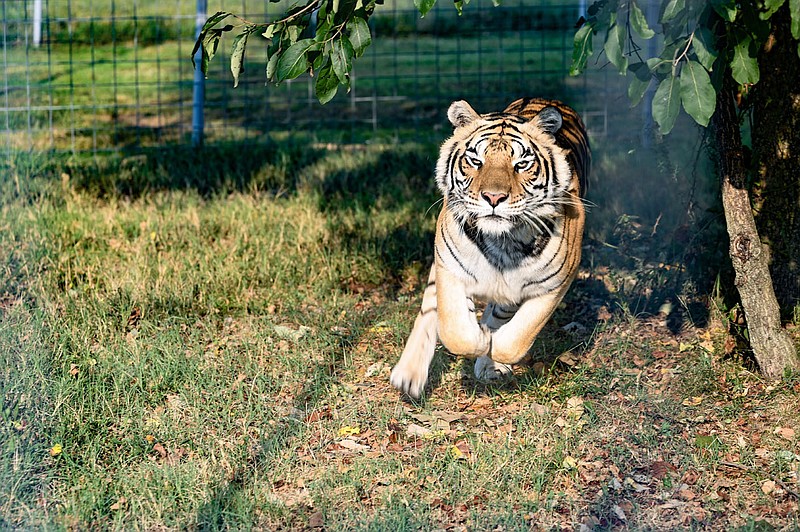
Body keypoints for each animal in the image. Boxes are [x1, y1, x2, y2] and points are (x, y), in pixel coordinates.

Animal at [390, 97, 592, 400]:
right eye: (476, 161)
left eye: (522, 164)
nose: (493, 197)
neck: (503, 242)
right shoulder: (449, 268)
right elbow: (455, 331)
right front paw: (479, 340)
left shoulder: (554, 285)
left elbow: (516, 339)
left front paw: (491, 351)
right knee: (429, 312)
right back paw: (408, 374)